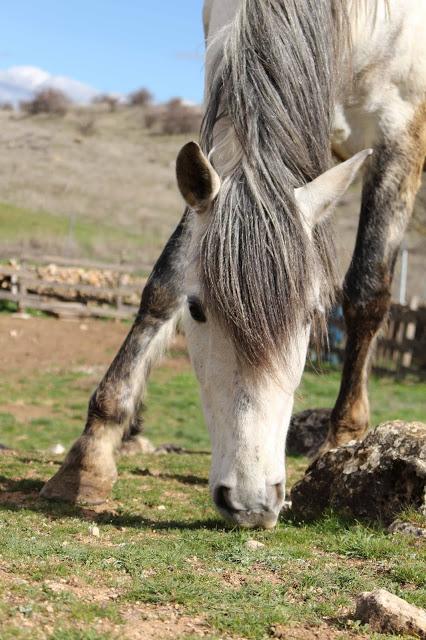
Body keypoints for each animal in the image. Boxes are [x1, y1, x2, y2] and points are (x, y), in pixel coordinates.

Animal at [40, 1, 426, 528]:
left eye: (311, 315)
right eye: (197, 311)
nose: (250, 502)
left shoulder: (401, 132)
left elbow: (366, 290)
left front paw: (342, 443)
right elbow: (164, 283)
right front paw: (89, 457)